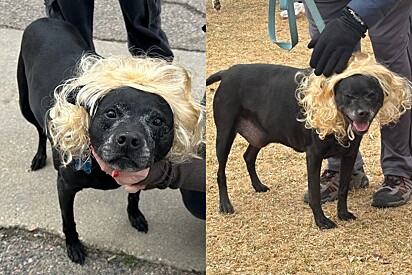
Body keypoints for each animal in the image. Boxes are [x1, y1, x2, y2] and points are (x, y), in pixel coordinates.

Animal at [18, 17, 205, 266]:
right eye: (110, 113)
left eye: (157, 121)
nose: (129, 140)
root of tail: (44, 19)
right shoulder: (65, 187)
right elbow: (69, 220)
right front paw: (73, 245)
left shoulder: (137, 178)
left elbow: (134, 197)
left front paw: (135, 216)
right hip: (25, 104)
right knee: (40, 130)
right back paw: (39, 156)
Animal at [208, 63, 384, 230]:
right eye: (349, 96)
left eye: (371, 95)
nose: (363, 113)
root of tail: (227, 72)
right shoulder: (314, 156)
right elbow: (314, 194)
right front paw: (321, 221)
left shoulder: (349, 155)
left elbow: (343, 189)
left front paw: (343, 213)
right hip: (224, 137)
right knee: (220, 173)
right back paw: (225, 204)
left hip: (262, 135)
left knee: (248, 157)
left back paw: (258, 185)